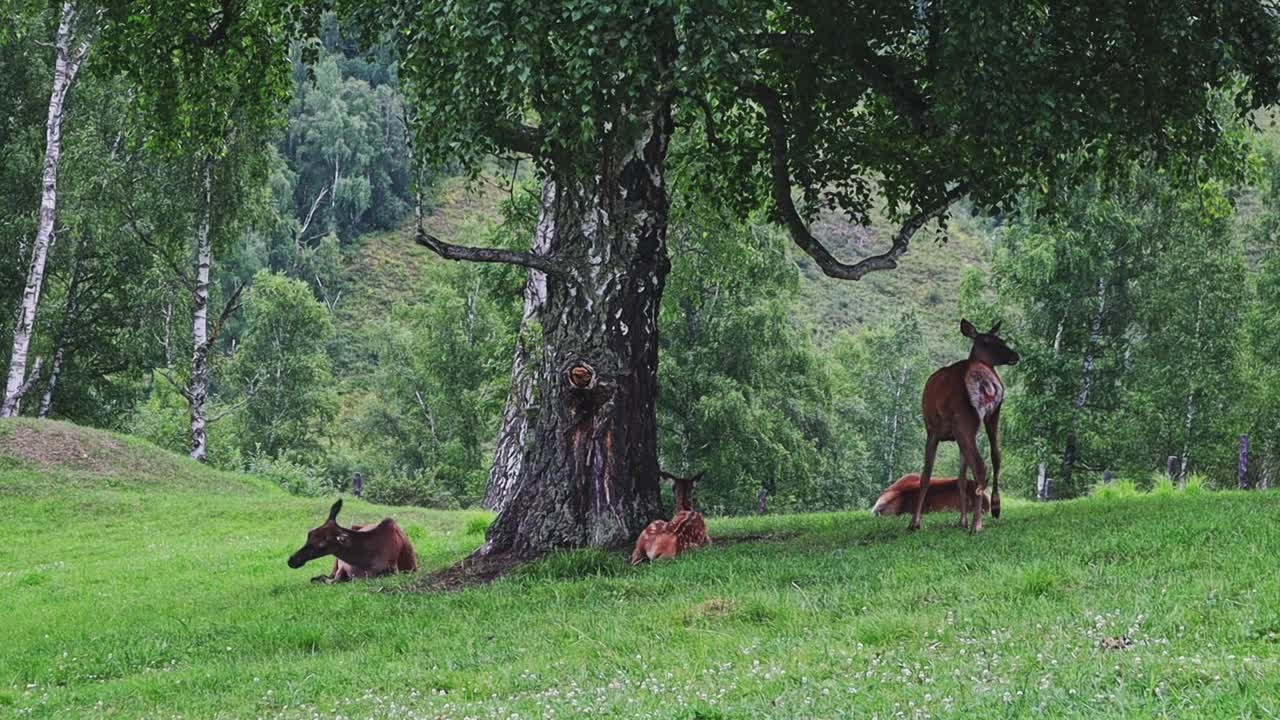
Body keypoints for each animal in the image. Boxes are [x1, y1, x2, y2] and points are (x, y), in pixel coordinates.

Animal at [911, 316, 1018, 530]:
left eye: (1002, 340)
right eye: (989, 341)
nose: (1015, 355)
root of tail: (987, 383)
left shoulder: (932, 431)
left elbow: (926, 475)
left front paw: (915, 523)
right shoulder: (957, 438)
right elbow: (960, 478)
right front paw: (962, 520)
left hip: (964, 419)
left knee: (980, 466)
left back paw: (977, 525)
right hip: (993, 415)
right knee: (996, 455)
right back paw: (995, 508)